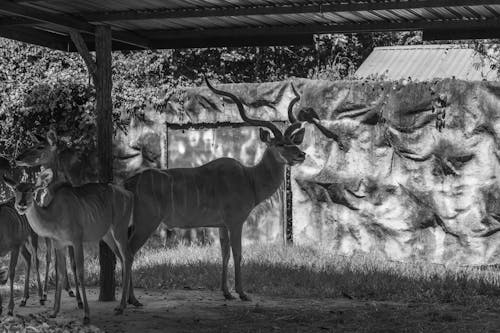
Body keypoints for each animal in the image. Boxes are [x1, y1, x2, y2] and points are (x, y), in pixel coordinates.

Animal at [3, 169, 135, 322]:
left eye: (32, 190)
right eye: (15, 189)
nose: (21, 204)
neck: (55, 218)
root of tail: (130, 195)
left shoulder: (77, 239)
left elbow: (80, 272)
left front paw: (86, 313)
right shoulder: (59, 243)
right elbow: (60, 272)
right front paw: (54, 311)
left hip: (120, 226)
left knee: (128, 256)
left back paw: (122, 306)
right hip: (107, 233)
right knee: (123, 258)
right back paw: (125, 303)